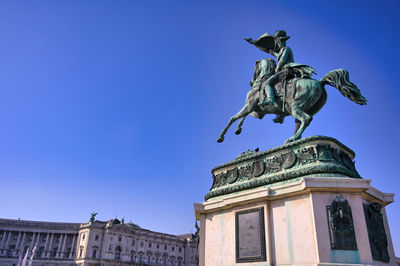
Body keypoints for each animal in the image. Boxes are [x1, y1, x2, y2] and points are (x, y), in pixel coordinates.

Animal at [217, 58, 368, 143]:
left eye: (254, 68)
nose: (251, 81)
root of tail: (320, 82)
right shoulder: (257, 111)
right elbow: (244, 117)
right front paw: (238, 129)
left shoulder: (249, 106)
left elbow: (233, 118)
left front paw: (221, 137)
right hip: (300, 110)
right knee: (302, 123)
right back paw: (293, 139)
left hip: (295, 107)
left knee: (306, 119)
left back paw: (293, 139)